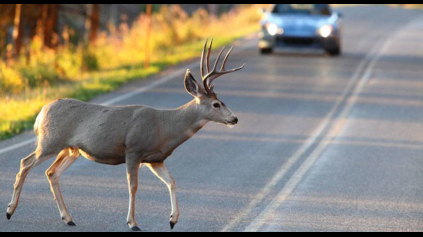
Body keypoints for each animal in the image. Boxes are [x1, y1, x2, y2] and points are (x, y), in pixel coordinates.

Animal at [5, 39, 245, 231]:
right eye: (216, 104)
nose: (234, 119)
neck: (165, 127)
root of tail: (40, 113)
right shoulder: (134, 150)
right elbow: (133, 187)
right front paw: (133, 222)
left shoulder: (155, 158)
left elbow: (172, 182)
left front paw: (173, 220)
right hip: (50, 141)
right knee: (25, 163)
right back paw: (9, 211)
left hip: (72, 149)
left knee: (51, 172)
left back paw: (68, 218)